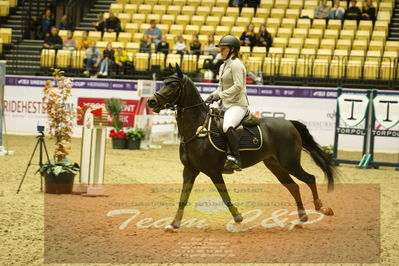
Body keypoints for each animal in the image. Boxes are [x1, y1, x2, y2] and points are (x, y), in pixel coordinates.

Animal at [148, 64, 336, 231]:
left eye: (173, 85)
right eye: (163, 82)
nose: (151, 101)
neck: (197, 128)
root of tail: (289, 123)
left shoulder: (213, 171)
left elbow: (224, 197)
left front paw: (238, 217)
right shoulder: (189, 170)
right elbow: (183, 197)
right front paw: (173, 224)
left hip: (290, 162)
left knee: (310, 179)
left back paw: (322, 208)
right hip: (275, 165)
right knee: (294, 187)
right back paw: (301, 219)